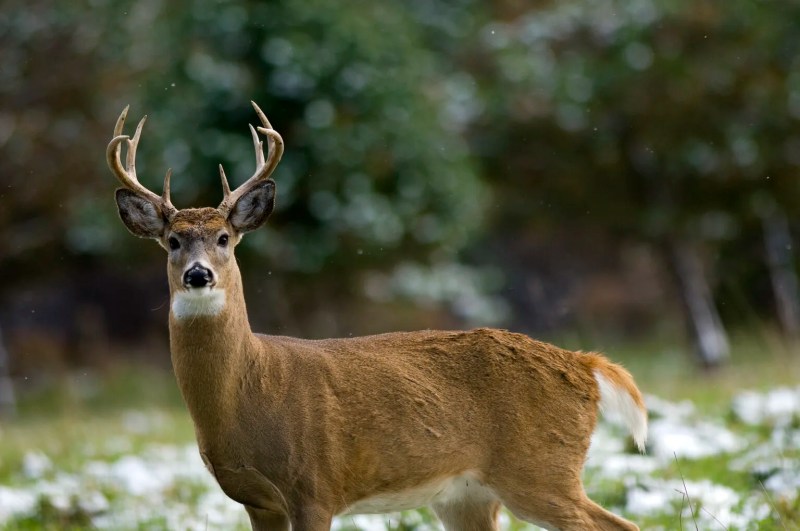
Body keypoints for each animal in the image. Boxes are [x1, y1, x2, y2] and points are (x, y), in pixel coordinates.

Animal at [107, 102, 648, 531]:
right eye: (173, 241)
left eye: (224, 237)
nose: (198, 274)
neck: (250, 388)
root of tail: (584, 365)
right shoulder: (257, 501)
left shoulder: (315, 485)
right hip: (468, 495)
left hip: (541, 469)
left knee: (620, 525)